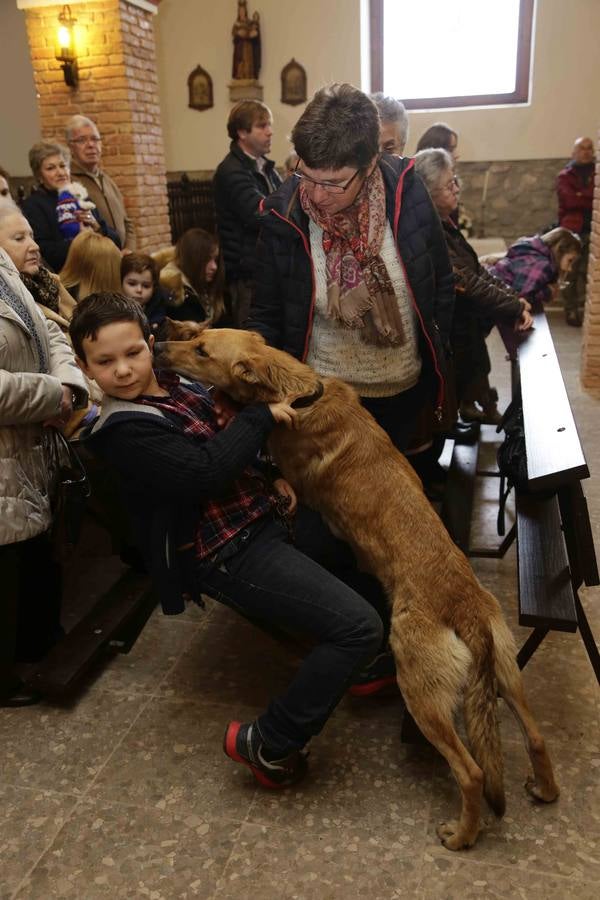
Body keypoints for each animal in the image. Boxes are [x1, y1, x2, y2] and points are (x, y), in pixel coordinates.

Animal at [155, 326, 556, 848]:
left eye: (202, 351)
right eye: (197, 336)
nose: (159, 345)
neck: (300, 391)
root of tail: (465, 607)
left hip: (422, 694)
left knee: (470, 773)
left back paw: (460, 835)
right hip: (507, 673)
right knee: (535, 736)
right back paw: (545, 790)